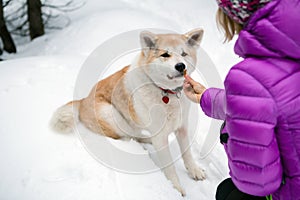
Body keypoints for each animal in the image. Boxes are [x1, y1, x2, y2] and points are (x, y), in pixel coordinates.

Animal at [51, 28, 206, 196]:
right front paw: (176, 188)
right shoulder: (160, 136)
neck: (166, 93)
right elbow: (170, 168)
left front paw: (194, 171)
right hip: (112, 115)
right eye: (165, 55)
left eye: (184, 54)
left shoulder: (182, 128)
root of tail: (83, 100)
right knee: (129, 137)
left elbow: (187, 154)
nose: (181, 66)